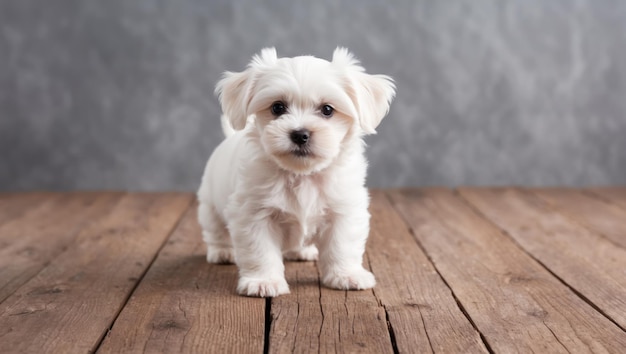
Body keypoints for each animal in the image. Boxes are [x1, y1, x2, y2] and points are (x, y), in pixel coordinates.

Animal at [199, 47, 394, 296]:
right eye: (277, 107)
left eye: (327, 110)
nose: (300, 134)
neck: (301, 174)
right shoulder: (253, 214)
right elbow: (260, 250)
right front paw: (263, 281)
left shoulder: (344, 211)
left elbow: (342, 246)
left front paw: (346, 275)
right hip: (210, 206)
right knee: (215, 230)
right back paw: (222, 251)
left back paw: (301, 251)